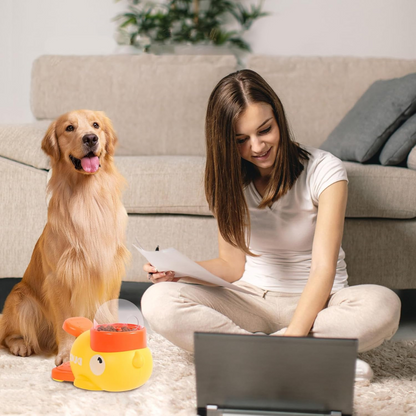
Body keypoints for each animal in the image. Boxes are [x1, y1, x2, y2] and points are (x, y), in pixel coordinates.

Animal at [0, 109, 129, 364]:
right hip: (22, 299)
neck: (88, 197)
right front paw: (68, 354)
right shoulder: (59, 277)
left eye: (96, 125)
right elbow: (65, 320)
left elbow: (108, 311)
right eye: (69, 128)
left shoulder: (110, 270)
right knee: (9, 334)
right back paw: (21, 345)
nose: (90, 138)